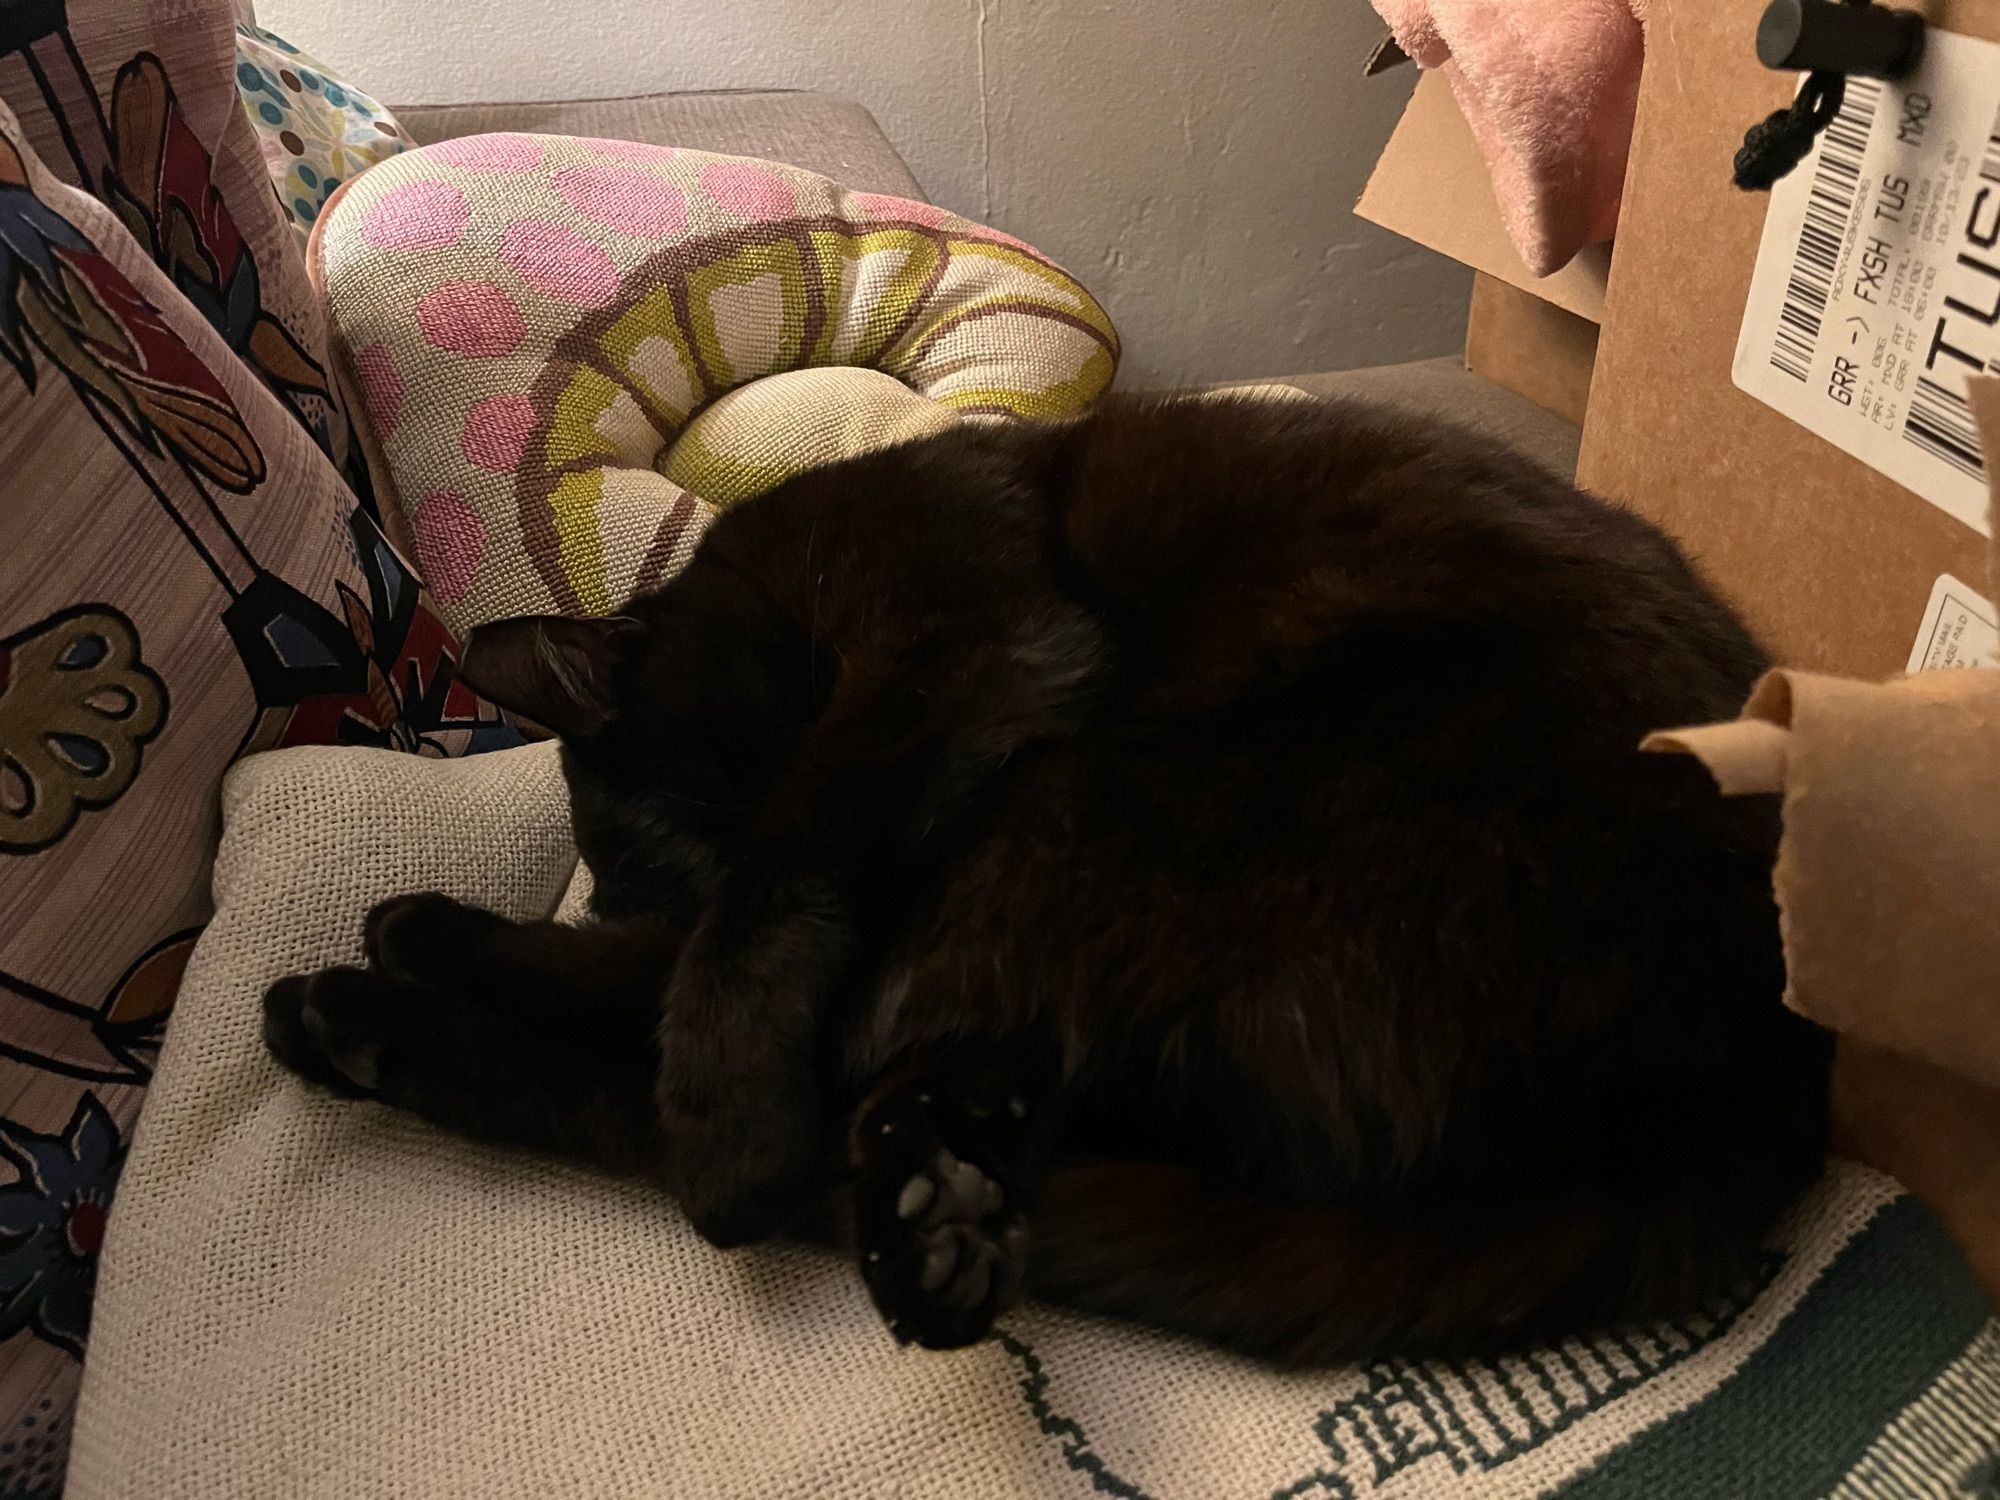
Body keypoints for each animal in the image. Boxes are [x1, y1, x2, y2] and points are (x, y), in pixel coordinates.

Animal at [262, 394, 1832, 1368]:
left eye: (689, 824)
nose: (679, 890)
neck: (763, 558)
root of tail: (1744, 1101)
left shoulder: (950, 644)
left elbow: (771, 887)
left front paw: (715, 1085)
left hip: (1066, 811)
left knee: (721, 1097)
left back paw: (397, 1013)